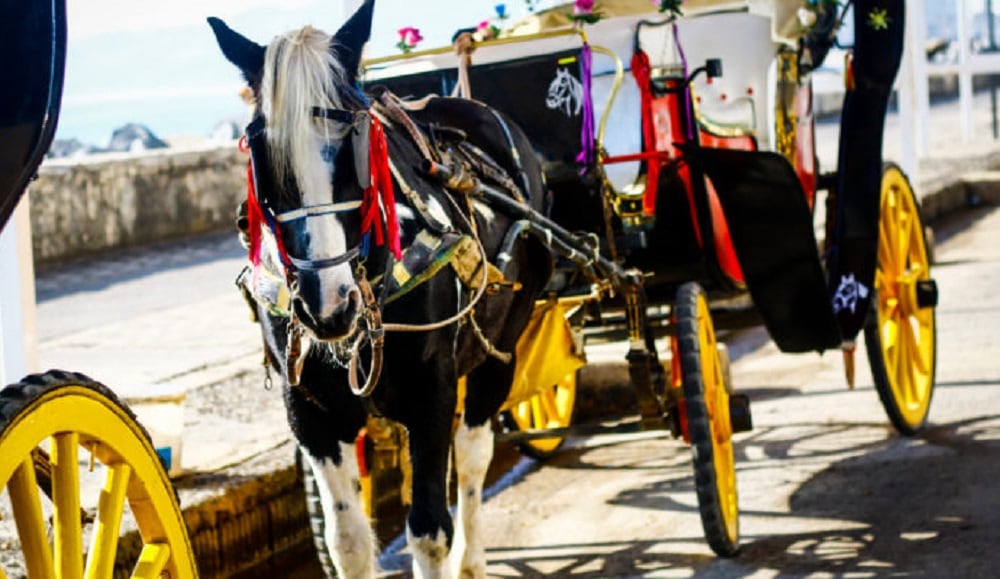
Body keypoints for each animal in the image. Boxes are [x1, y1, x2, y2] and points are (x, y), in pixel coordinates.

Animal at [211, 2, 556, 576]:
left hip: (501, 347)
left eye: (356, 141)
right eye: (260, 147)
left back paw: (472, 558)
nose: (327, 305)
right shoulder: (309, 407)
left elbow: (430, 530)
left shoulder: (431, 390)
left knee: (473, 454)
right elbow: (347, 539)